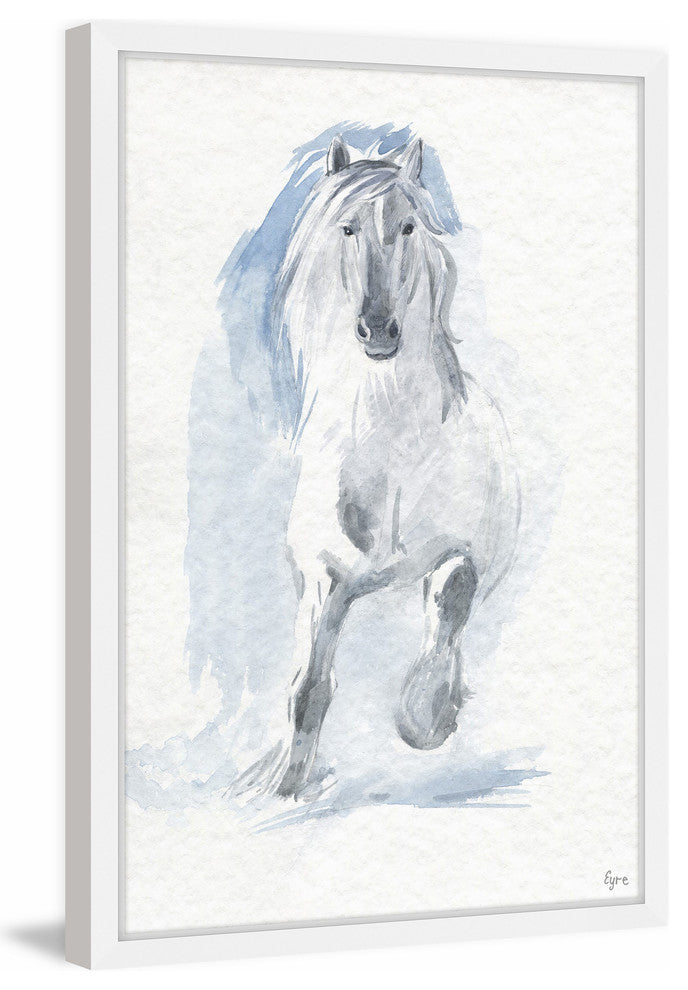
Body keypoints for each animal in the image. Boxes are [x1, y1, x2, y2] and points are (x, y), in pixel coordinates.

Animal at [233, 135, 520, 802]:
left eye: (409, 226)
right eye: (347, 228)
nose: (379, 329)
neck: (390, 456)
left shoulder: (460, 554)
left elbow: (447, 616)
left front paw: (425, 720)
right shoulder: (325, 576)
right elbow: (308, 687)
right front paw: (285, 788)